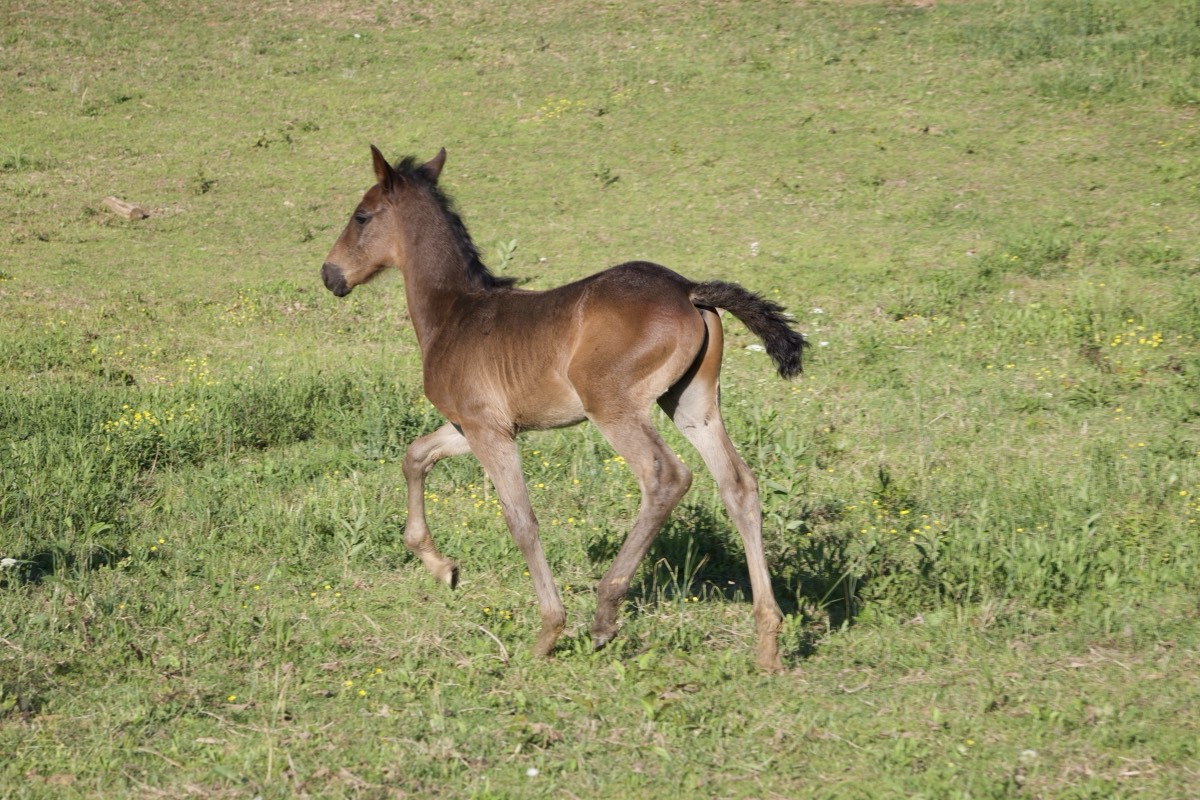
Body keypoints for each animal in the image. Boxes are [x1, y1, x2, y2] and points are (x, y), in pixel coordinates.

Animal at [321, 146, 806, 671]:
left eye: (361, 215)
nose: (330, 275)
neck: (453, 313)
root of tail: (688, 289)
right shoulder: (473, 426)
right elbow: (415, 457)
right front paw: (442, 568)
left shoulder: (487, 430)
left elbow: (520, 519)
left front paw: (548, 631)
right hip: (691, 404)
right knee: (739, 485)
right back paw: (767, 642)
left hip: (613, 407)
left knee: (666, 477)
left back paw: (605, 613)